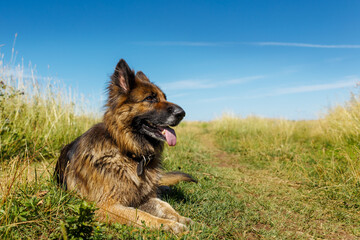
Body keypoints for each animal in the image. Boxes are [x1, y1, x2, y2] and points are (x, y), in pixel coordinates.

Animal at [55, 59, 197, 233]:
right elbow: (141, 215)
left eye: (165, 97)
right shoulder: (106, 206)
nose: (182, 113)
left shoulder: (144, 197)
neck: (129, 152)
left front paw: (180, 218)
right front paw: (169, 225)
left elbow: (164, 205)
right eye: (150, 98)